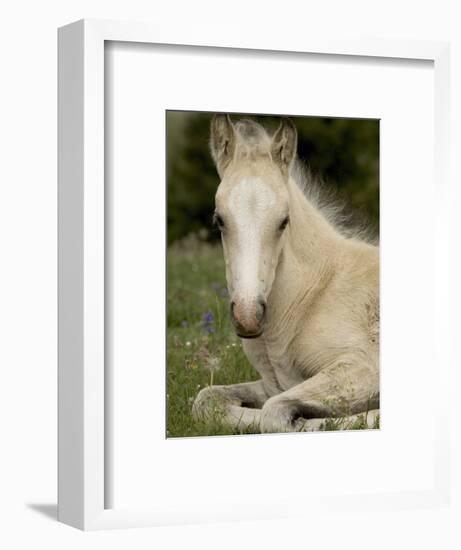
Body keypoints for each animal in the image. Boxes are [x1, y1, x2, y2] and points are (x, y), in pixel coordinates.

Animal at [191, 117, 378, 436]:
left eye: (284, 221)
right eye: (219, 220)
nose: (248, 316)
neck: (312, 297)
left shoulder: (363, 366)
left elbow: (275, 412)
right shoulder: (274, 383)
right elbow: (207, 400)